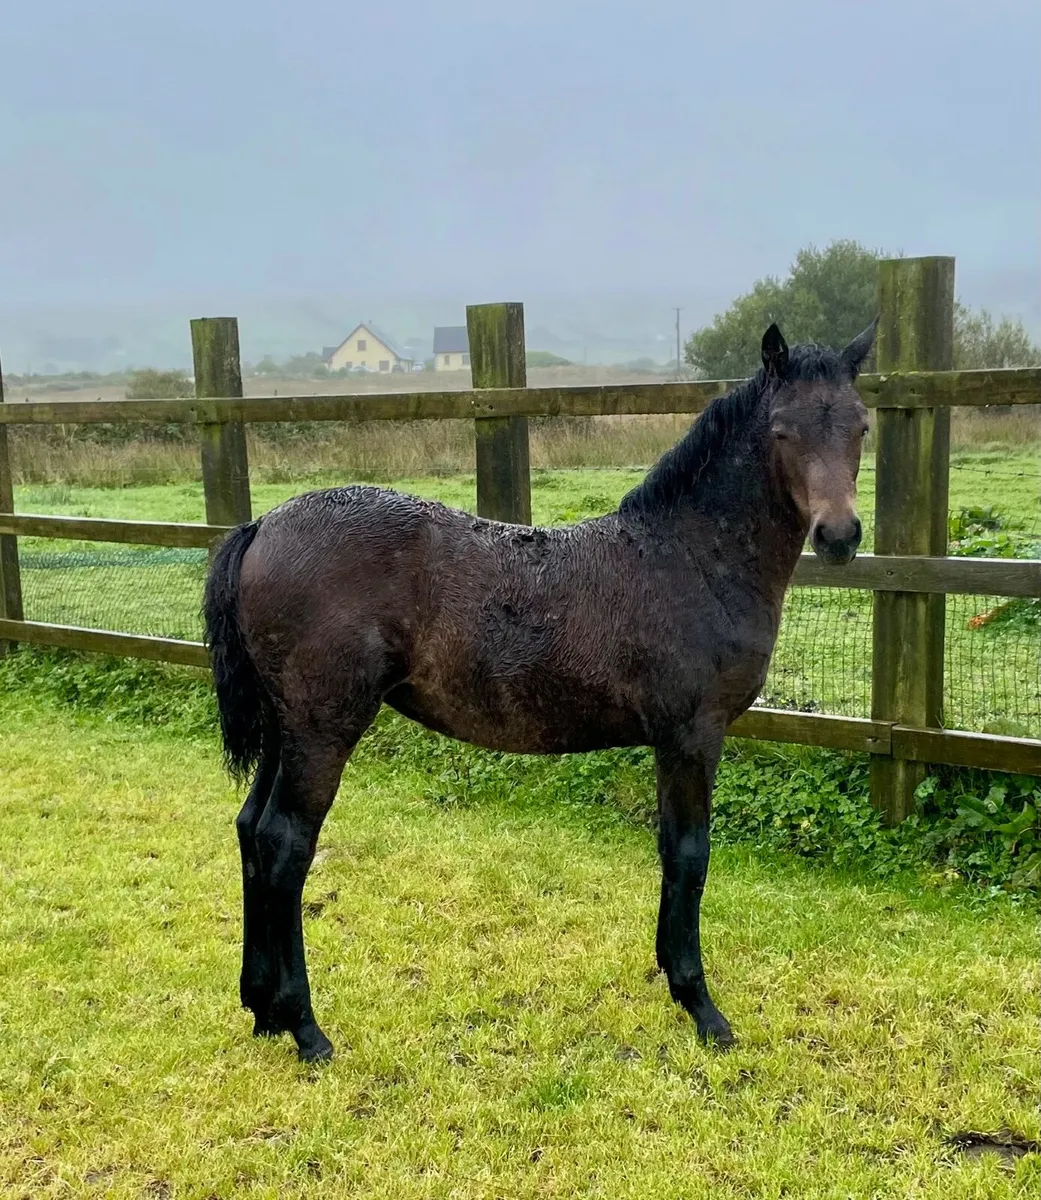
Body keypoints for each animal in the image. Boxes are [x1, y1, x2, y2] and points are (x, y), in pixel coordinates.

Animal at [203, 321, 875, 1061]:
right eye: (782, 430)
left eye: (860, 426)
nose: (839, 535)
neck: (690, 558)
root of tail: (261, 526)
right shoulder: (691, 736)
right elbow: (689, 855)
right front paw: (700, 1006)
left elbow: (674, 853)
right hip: (323, 726)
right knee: (286, 843)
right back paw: (304, 1026)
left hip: (285, 726)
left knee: (250, 829)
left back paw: (260, 1007)